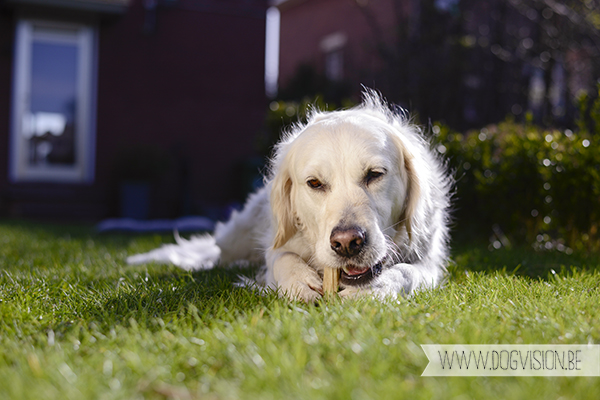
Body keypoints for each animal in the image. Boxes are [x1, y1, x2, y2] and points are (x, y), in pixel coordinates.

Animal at [130, 90, 450, 304]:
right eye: (314, 183)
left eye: (374, 174)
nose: (347, 243)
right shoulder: (279, 244)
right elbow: (280, 257)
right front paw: (298, 281)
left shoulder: (430, 259)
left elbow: (408, 272)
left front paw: (380, 286)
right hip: (235, 236)